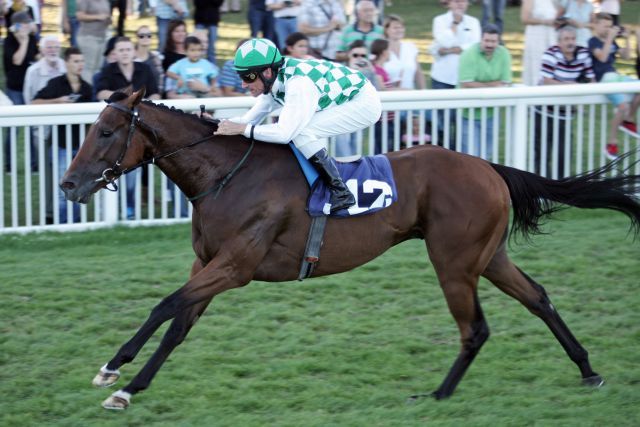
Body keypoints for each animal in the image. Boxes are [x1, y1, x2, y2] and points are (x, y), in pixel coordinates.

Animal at [61, 89, 640, 412]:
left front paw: (113, 370)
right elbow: (178, 324)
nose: (68, 186)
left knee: (475, 328)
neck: (225, 174)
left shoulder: (235, 266)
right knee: (537, 296)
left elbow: (164, 306)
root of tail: (487, 166)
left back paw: (438, 397)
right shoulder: (207, 263)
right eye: (90, 128)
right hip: (488, 256)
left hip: (453, 261)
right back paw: (587, 369)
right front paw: (127, 388)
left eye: (106, 131)